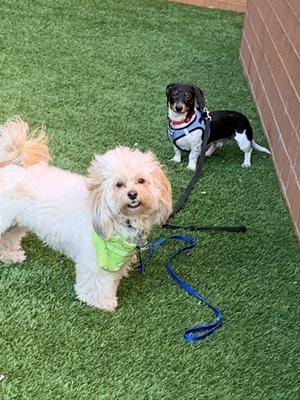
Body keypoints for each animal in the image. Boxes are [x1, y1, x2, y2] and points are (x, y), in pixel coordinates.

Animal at [0, 117, 172, 310]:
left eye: (141, 181)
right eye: (119, 184)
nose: (133, 194)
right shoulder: (95, 258)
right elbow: (98, 281)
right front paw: (99, 301)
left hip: (15, 224)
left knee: (7, 239)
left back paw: (10, 256)